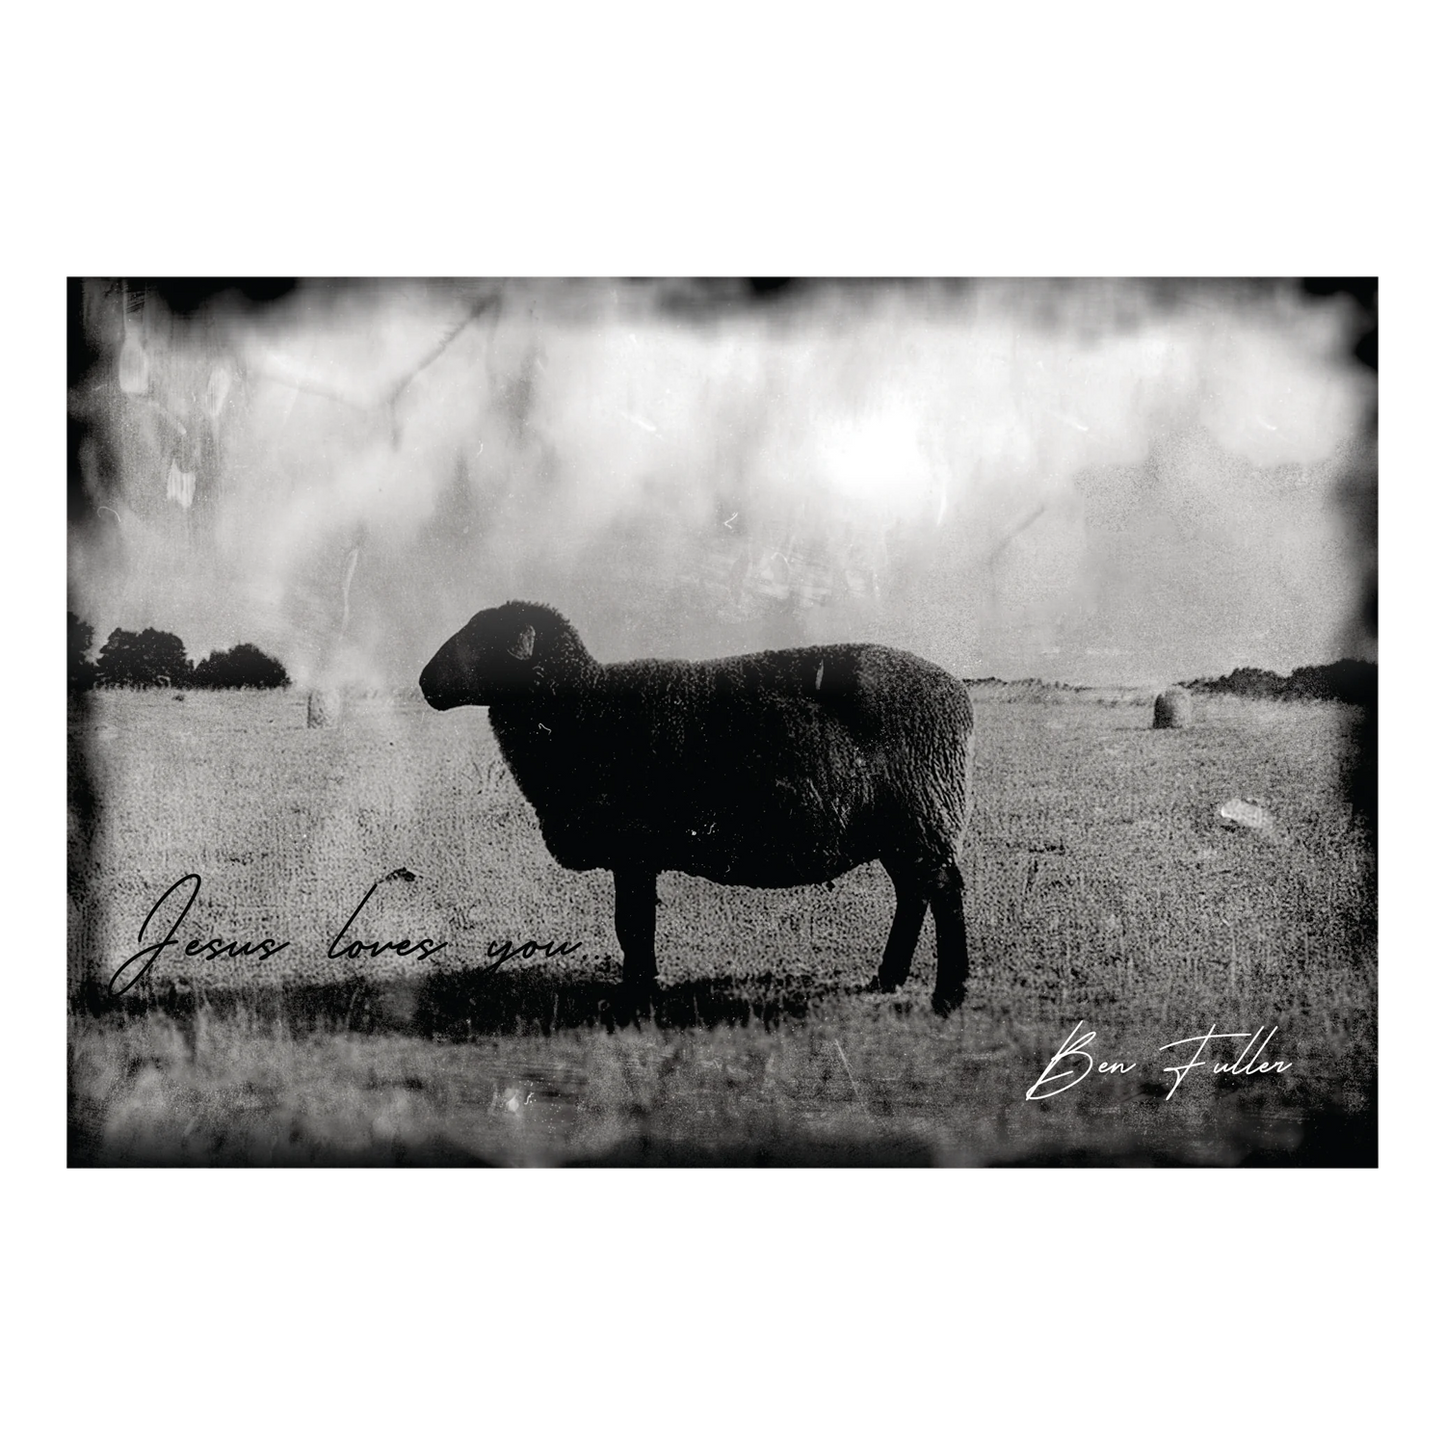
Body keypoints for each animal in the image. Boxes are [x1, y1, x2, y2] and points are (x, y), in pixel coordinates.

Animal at [419, 601, 974, 1014]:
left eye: (485, 638)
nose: (425, 683)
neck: (581, 708)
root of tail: (957, 694)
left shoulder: (634, 848)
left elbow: (632, 924)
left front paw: (637, 997)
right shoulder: (635, 854)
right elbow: (633, 924)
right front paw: (642, 988)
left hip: (924, 811)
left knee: (944, 893)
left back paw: (948, 995)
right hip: (905, 826)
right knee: (914, 894)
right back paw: (887, 979)